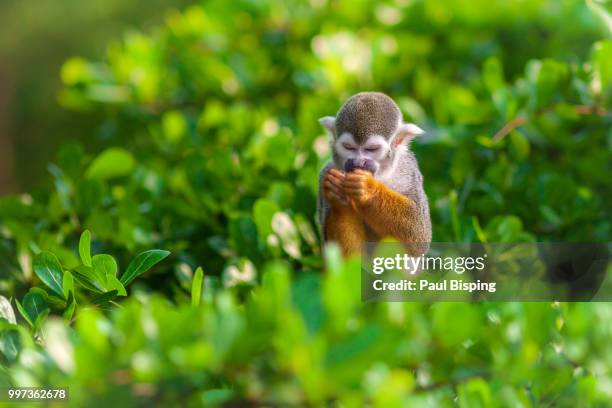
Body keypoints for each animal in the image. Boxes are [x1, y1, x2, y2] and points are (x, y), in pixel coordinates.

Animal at [318, 93, 432, 258]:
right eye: (348, 147)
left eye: (372, 149)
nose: (358, 162)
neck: (380, 176)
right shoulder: (326, 173)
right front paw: (339, 197)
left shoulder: (409, 171)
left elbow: (419, 235)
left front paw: (367, 188)